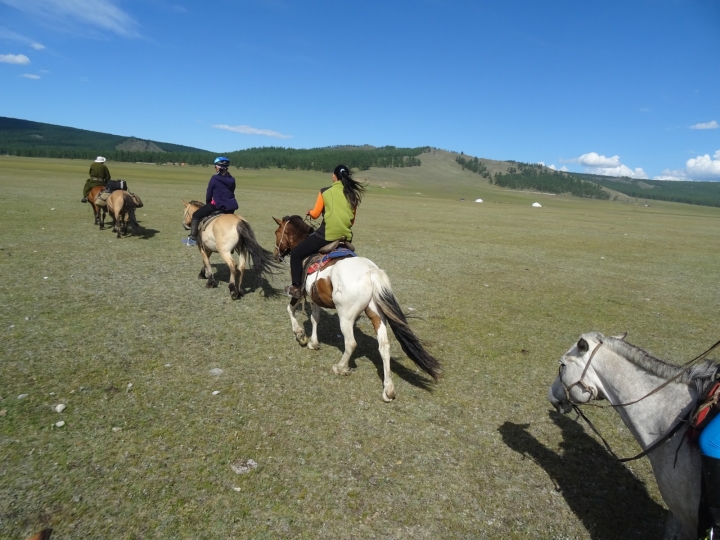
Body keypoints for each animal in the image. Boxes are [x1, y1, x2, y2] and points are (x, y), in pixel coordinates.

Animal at [272, 215, 438, 400]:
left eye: (277, 232)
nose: (275, 255)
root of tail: (371, 272)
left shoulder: (301, 292)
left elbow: (292, 310)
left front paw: (301, 335)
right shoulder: (315, 298)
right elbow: (315, 318)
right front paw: (314, 343)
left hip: (346, 316)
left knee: (351, 343)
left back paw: (340, 367)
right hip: (376, 314)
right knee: (384, 346)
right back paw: (388, 389)